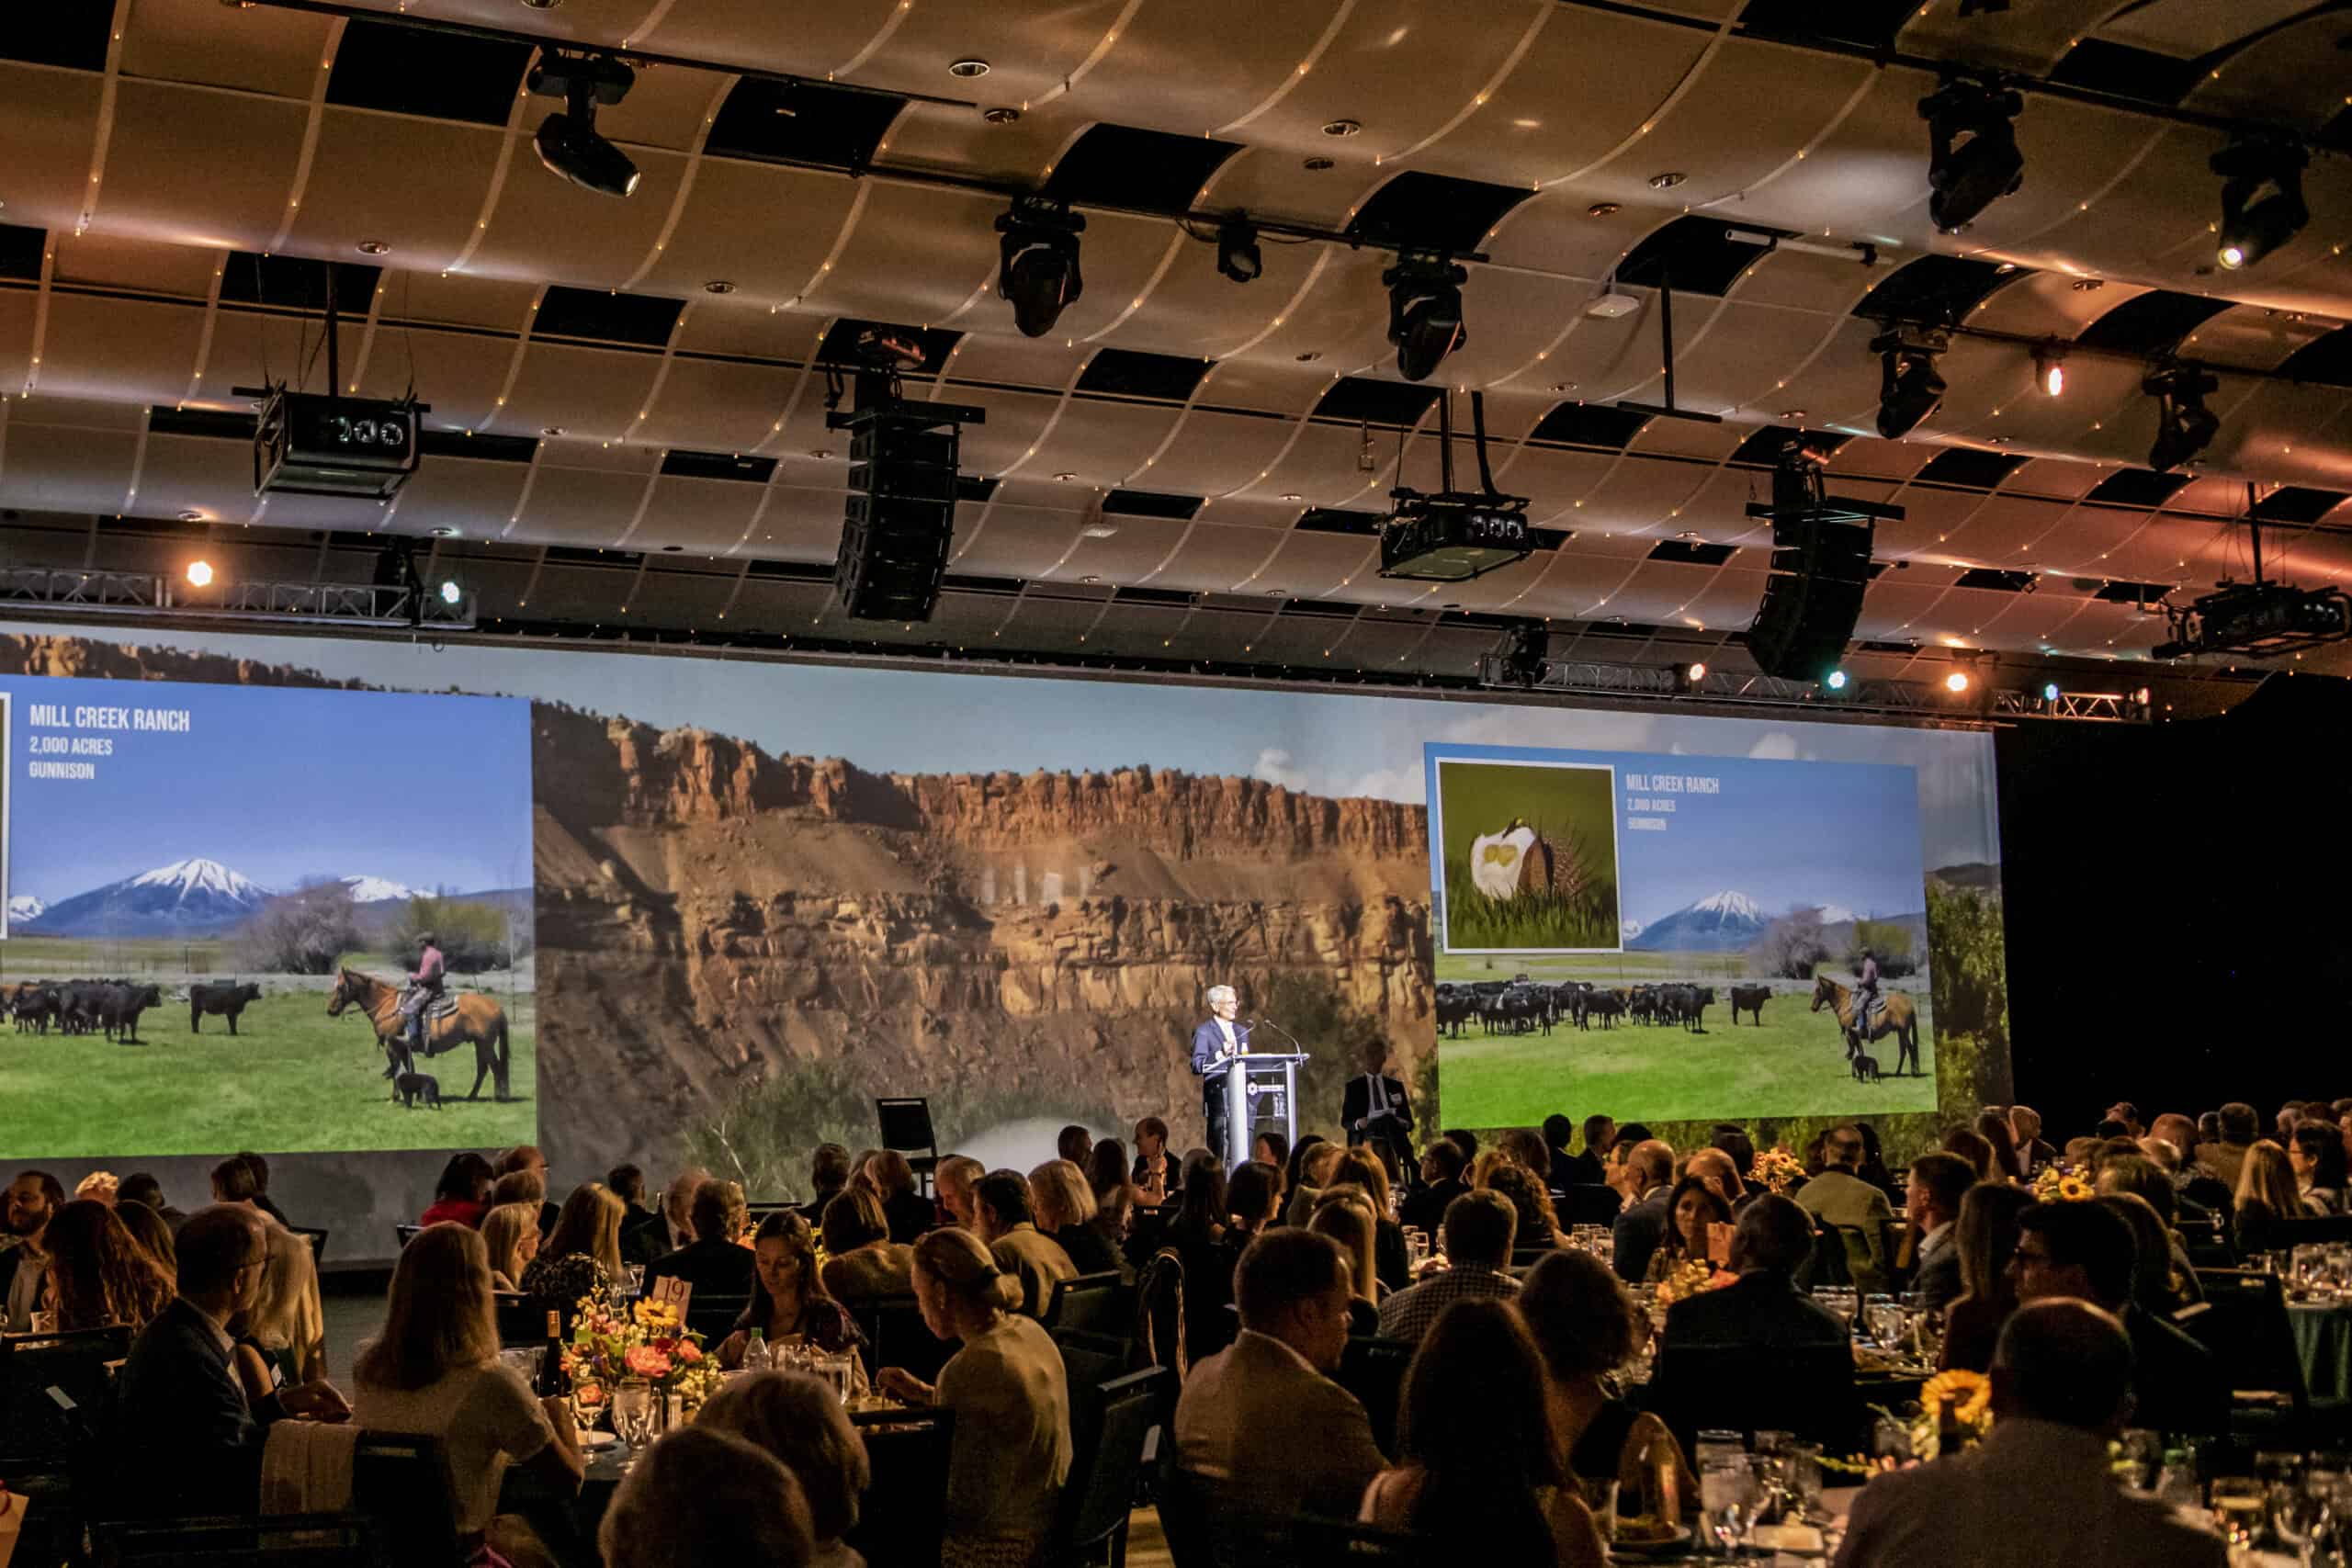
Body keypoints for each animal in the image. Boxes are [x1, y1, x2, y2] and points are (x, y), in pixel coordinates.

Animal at [329, 968, 513, 1104]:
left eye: (340, 987)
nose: (330, 1010)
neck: (387, 1006)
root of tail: (496, 1006)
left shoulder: (391, 1045)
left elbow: (396, 1069)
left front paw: (394, 1098)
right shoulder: (404, 1048)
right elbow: (409, 1068)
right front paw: (416, 1095)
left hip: (485, 1044)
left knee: (495, 1067)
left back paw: (497, 1097)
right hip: (479, 1044)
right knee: (483, 1068)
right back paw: (472, 1096)